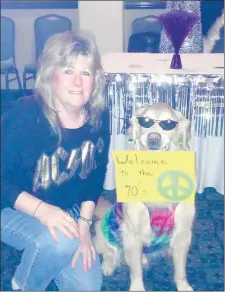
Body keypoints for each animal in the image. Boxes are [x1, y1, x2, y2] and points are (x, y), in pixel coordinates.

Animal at [93, 102, 195, 290]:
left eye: (168, 123)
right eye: (145, 121)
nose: (153, 138)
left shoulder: (183, 233)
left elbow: (181, 272)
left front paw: (184, 287)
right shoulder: (132, 235)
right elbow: (136, 272)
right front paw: (137, 287)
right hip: (107, 230)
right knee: (110, 252)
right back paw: (108, 265)